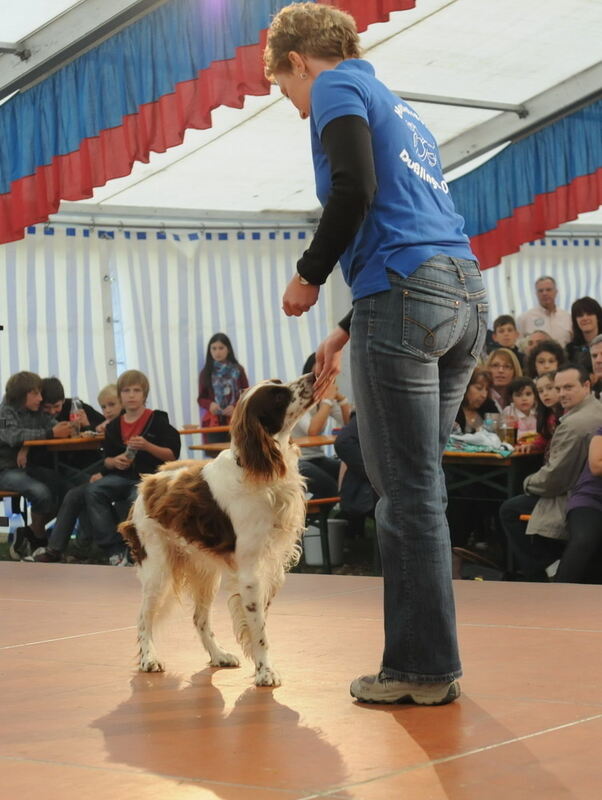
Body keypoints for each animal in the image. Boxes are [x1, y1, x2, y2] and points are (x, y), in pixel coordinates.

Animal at [117, 372, 314, 684]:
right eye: (278, 396)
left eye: (280, 383)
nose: (314, 375)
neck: (259, 468)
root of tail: (146, 484)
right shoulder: (250, 573)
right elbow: (259, 630)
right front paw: (265, 672)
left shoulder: (268, 567)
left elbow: (258, 623)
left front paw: (259, 665)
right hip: (158, 571)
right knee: (143, 618)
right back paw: (149, 658)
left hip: (206, 575)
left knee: (199, 619)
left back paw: (218, 655)